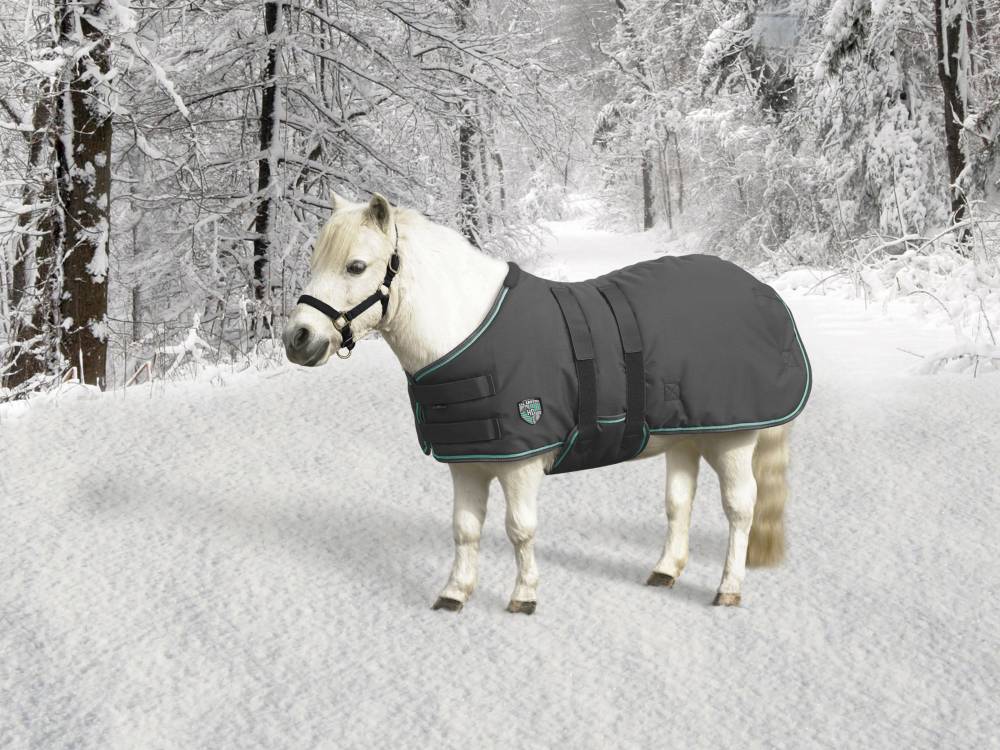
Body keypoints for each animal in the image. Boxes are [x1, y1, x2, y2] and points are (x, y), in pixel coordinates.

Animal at [283, 193, 796, 613]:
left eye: (356, 266)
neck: (467, 329)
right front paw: (454, 593)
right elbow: (465, 529)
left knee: (740, 509)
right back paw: (665, 571)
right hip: (688, 434)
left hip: (732, 438)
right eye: (314, 259)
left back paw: (728, 589)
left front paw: (524, 596)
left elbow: (519, 528)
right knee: (678, 503)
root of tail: (761, 291)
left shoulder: (520, 462)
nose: (297, 338)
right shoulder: (468, 462)